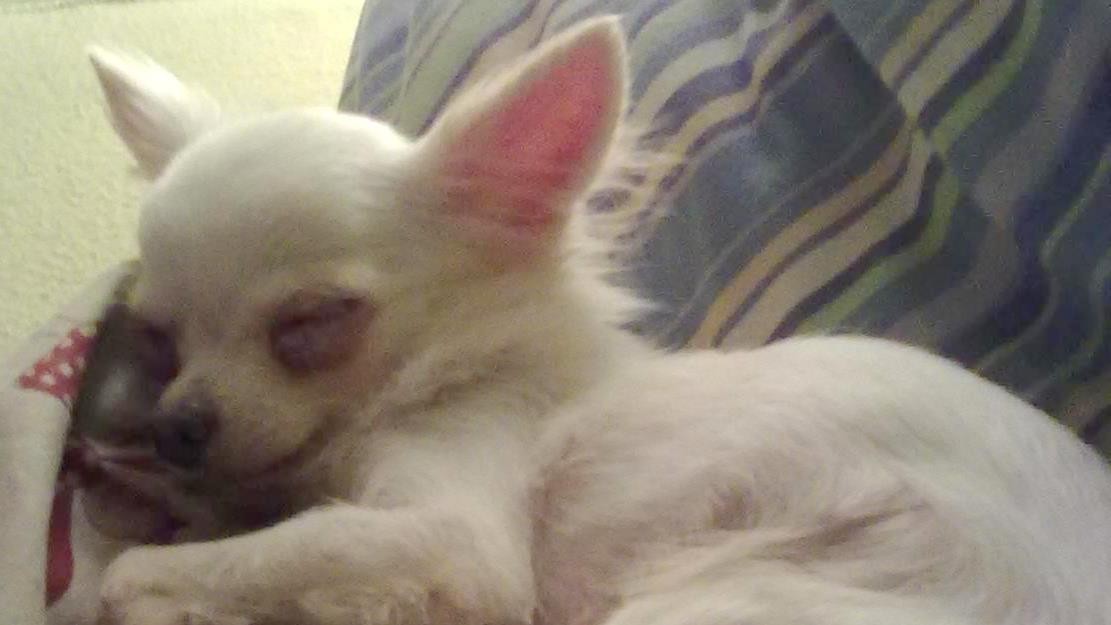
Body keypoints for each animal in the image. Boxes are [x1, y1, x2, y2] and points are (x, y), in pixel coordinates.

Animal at [85, 17, 1111, 625]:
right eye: (158, 338)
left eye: (312, 323)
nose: (176, 425)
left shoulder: (455, 533)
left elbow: (266, 551)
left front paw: (146, 580)